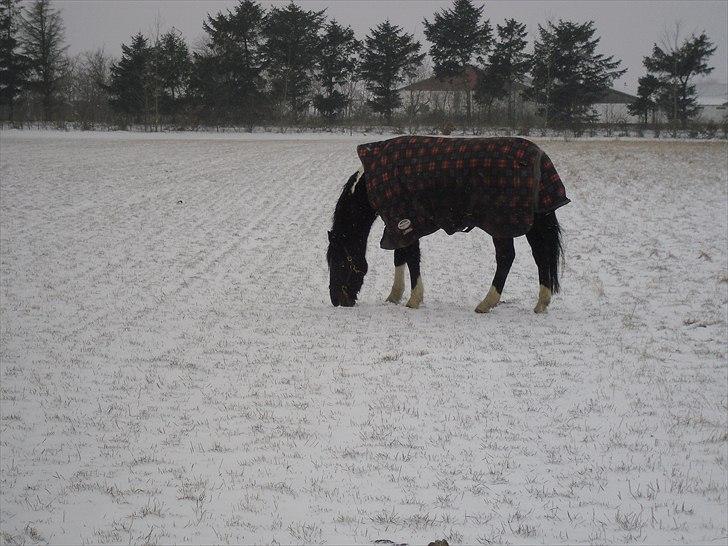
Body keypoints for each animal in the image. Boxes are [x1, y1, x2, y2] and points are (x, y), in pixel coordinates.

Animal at [328, 135, 572, 310]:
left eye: (338, 262)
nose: (336, 300)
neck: (372, 183)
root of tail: (540, 157)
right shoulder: (401, 225)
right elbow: (400, 257)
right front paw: (394, 296)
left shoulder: (406, 221)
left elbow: (411, 258)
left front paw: (413, 299)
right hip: (531, 223)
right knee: (540, 256)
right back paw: (541, 303)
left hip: (501, 224)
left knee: (506, 258)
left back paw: (487, 303)